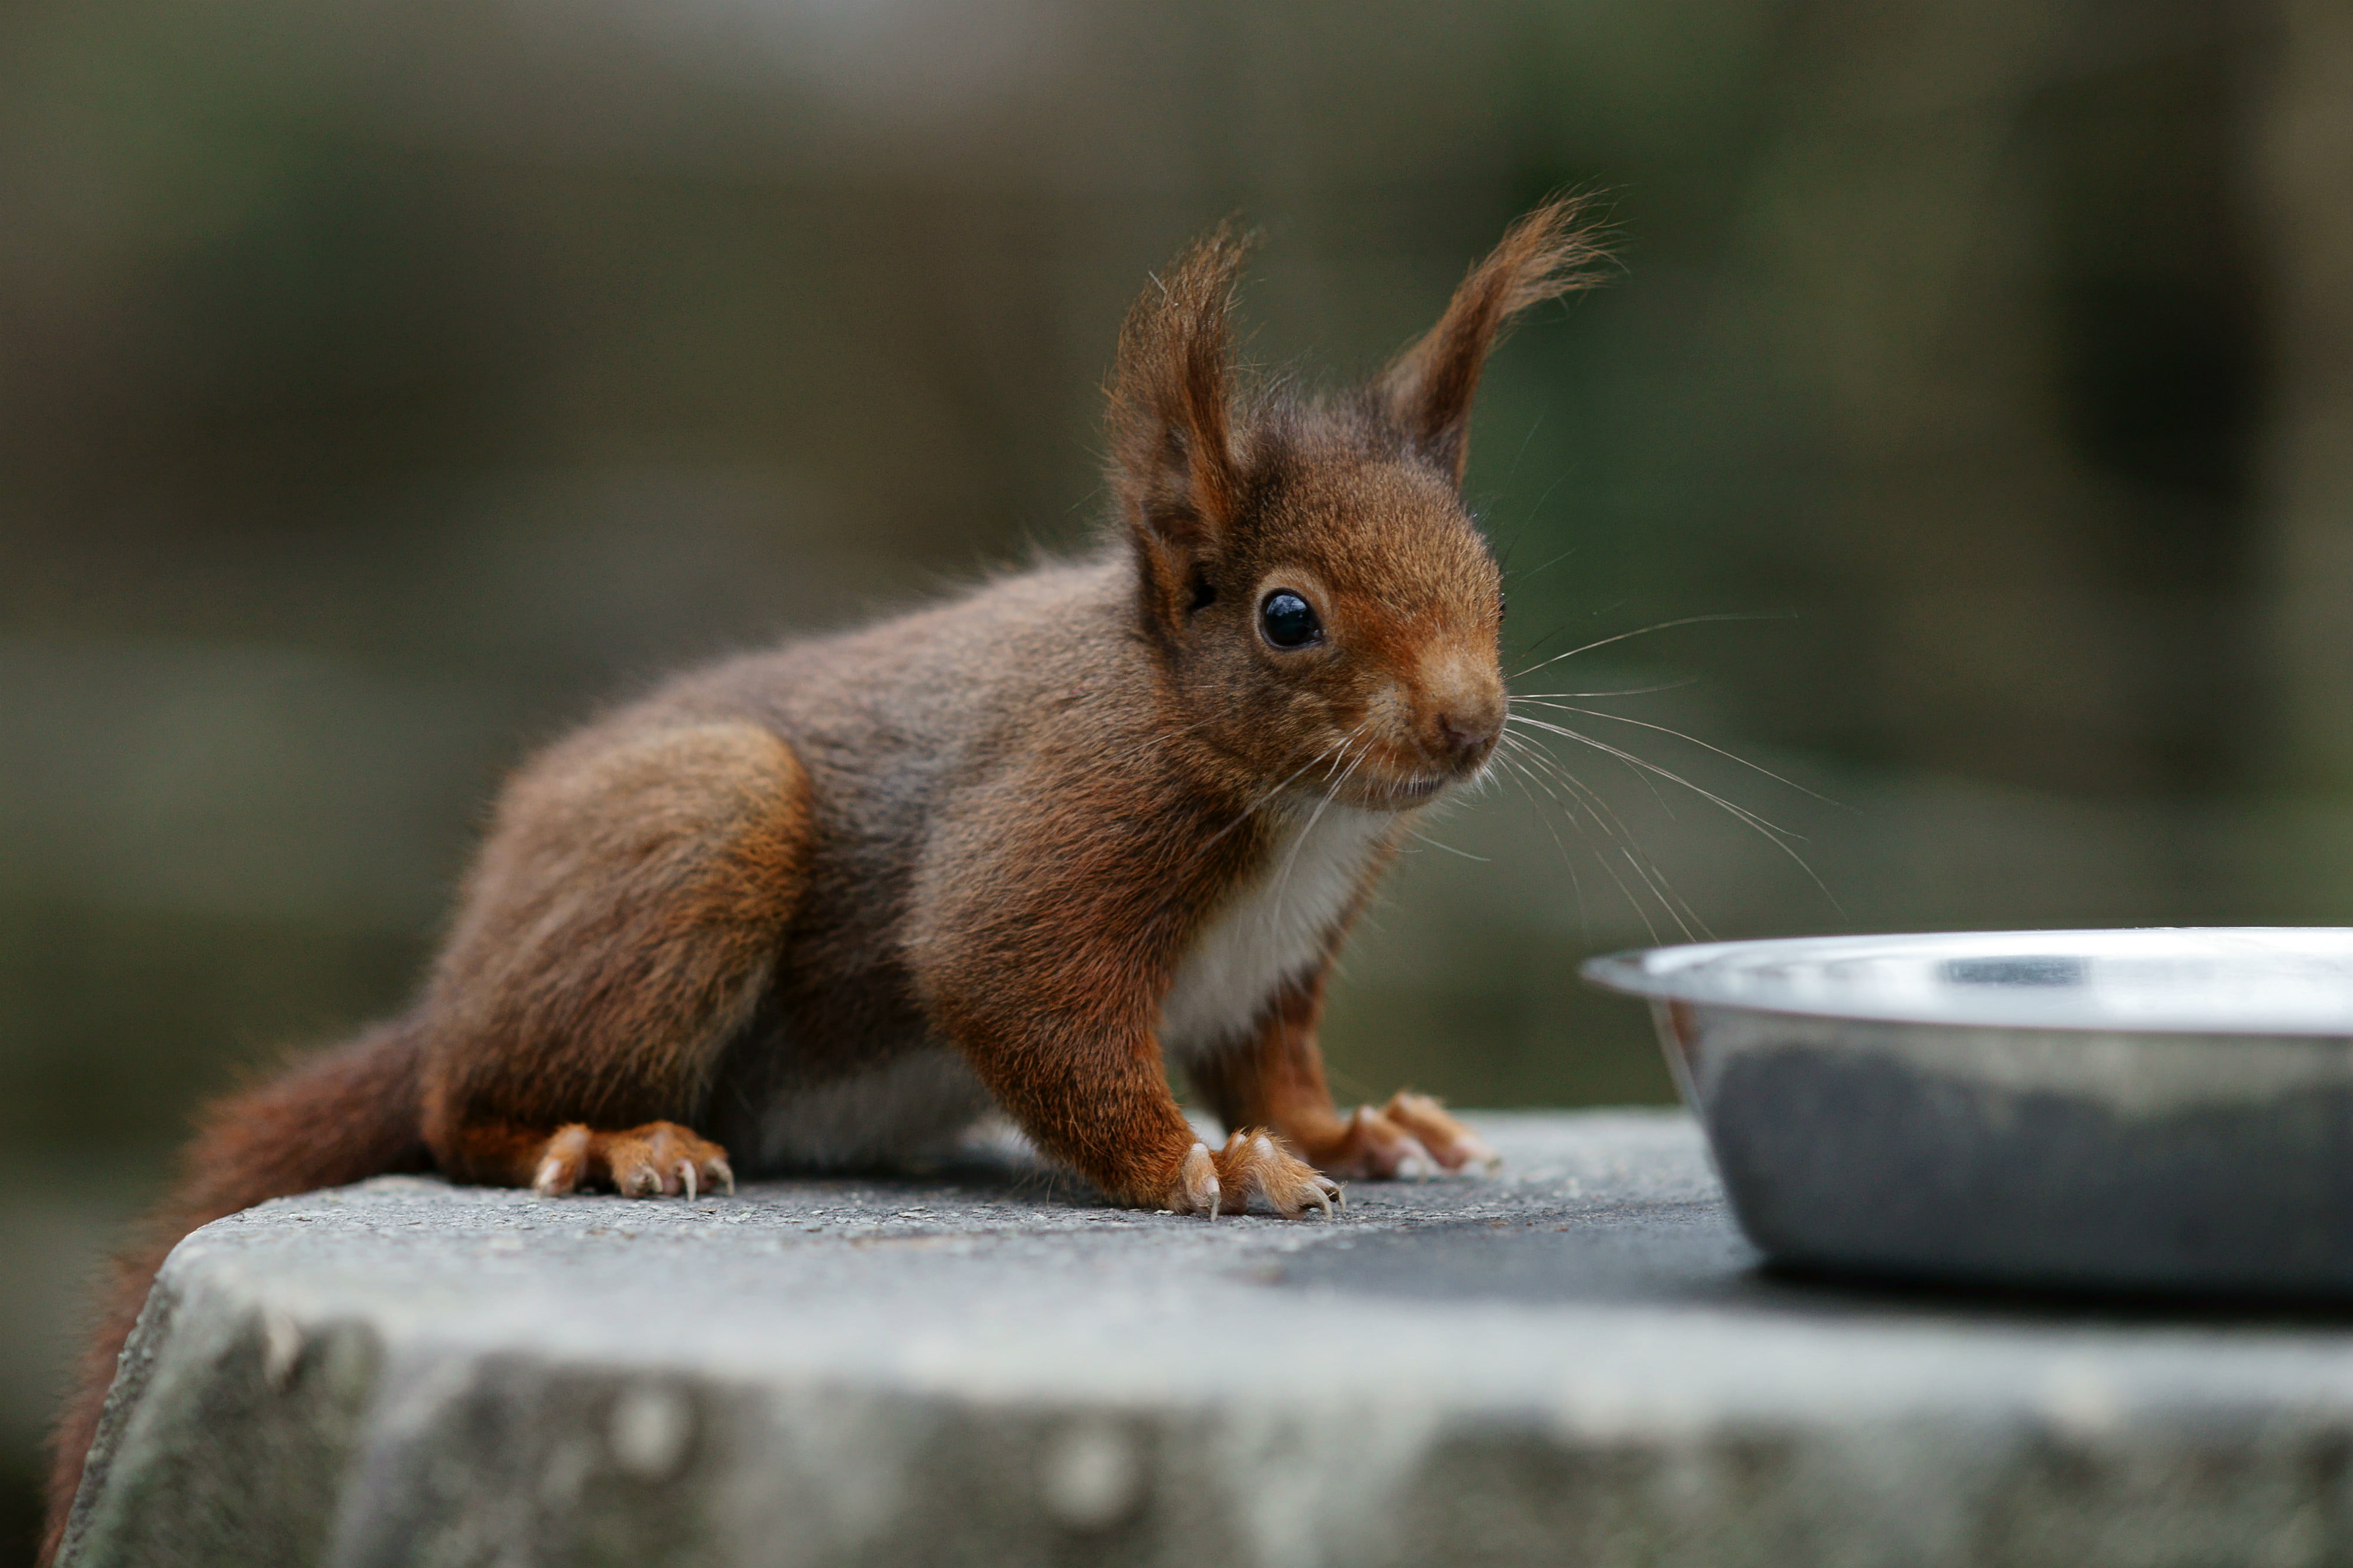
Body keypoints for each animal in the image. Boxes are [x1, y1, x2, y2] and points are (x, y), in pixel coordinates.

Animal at [42, 197, 1603, 1560]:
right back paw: (593, 1139)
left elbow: (1271, 1060)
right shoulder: (1060, 818)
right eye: (1289, 616)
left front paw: (1351, 1130)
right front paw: (1204, 1164)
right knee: (454, 1104)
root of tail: (458, 984)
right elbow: (1012, 984)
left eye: (1486, 570)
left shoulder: (1276, 957)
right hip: (702, 824)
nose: (1468, 724)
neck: (1297, 810)